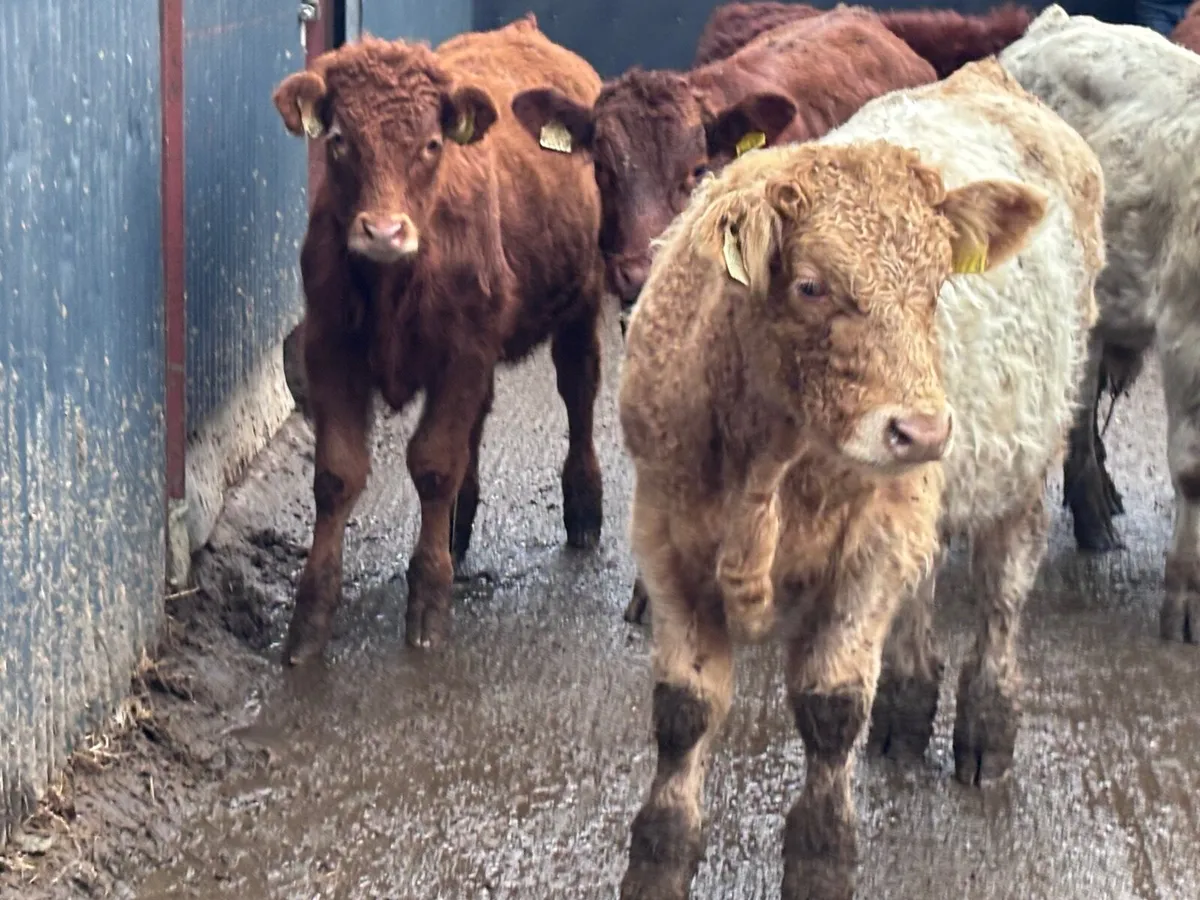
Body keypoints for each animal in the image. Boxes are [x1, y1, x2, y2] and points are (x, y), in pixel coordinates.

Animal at [269, 15, 608, 664]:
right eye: (340, 140)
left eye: (431, 145)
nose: (383, 231)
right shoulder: (332, 349)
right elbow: (337, 476)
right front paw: (310, 619)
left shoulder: (462, 352)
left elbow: (432, 464)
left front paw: (427, 600)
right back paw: (461, 521)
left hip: (581, 301)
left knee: (578, 391)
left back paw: (583, 506)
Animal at [615, 58, 1103, 900]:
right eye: (811, 286)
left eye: (937, 286)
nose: (924, 429)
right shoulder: (667, 533)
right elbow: (683, 709)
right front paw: (660, 854)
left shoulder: (867, 549)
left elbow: (831, 708)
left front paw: (822, 854)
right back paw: (907, 711)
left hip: (1024, 470)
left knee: (1001, 599)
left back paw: (985, 729)